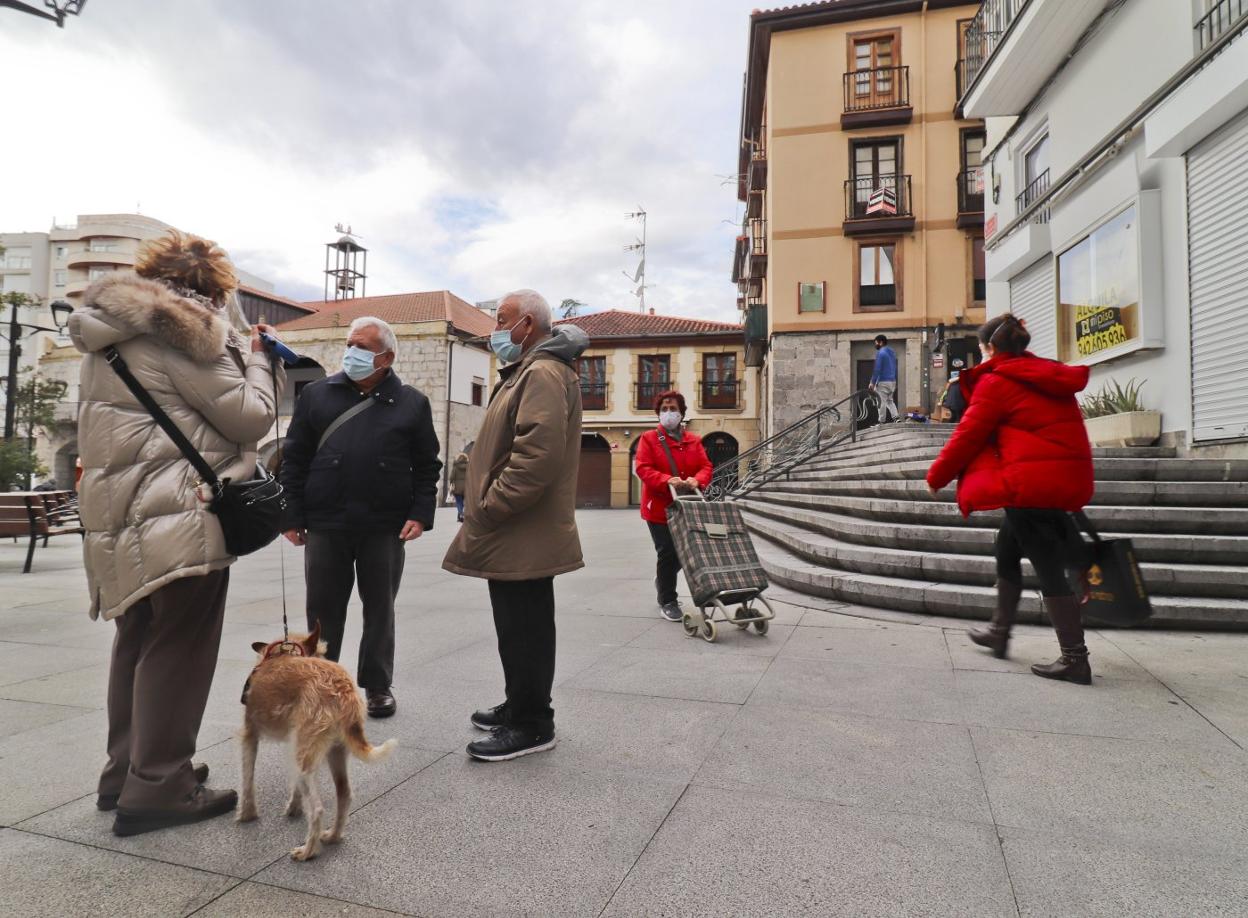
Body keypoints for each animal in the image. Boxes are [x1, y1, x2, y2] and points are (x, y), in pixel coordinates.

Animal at [232, 623, 391, 858]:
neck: (281, 654)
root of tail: (344, 690)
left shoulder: (250, 734)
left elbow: (247, 778)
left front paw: (247, 813)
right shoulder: (294, 742)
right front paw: (294, 807)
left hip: (306, 752)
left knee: (317, 809)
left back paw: (308, 851)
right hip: (332, 750)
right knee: (344, 793)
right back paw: (333, 835)